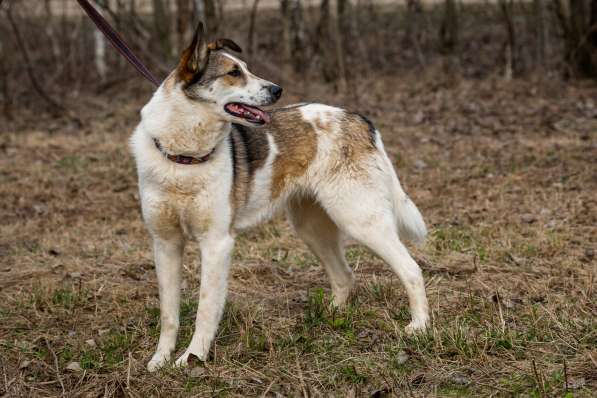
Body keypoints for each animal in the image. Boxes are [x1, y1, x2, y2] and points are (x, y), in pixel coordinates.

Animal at [130, 21, 428, 370]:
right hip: (311, 228)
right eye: (234, 72)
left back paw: (420, 327)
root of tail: (358, 119)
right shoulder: (165, 244)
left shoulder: (216, 243)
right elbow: (169, 313)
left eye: (245, 68)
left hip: (360, 220)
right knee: (344, 276)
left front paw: (192, 358)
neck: (184, 158)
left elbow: (205, 309)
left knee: (411, 270)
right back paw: (328, 319)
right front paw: (160, 359)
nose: (277, 90)